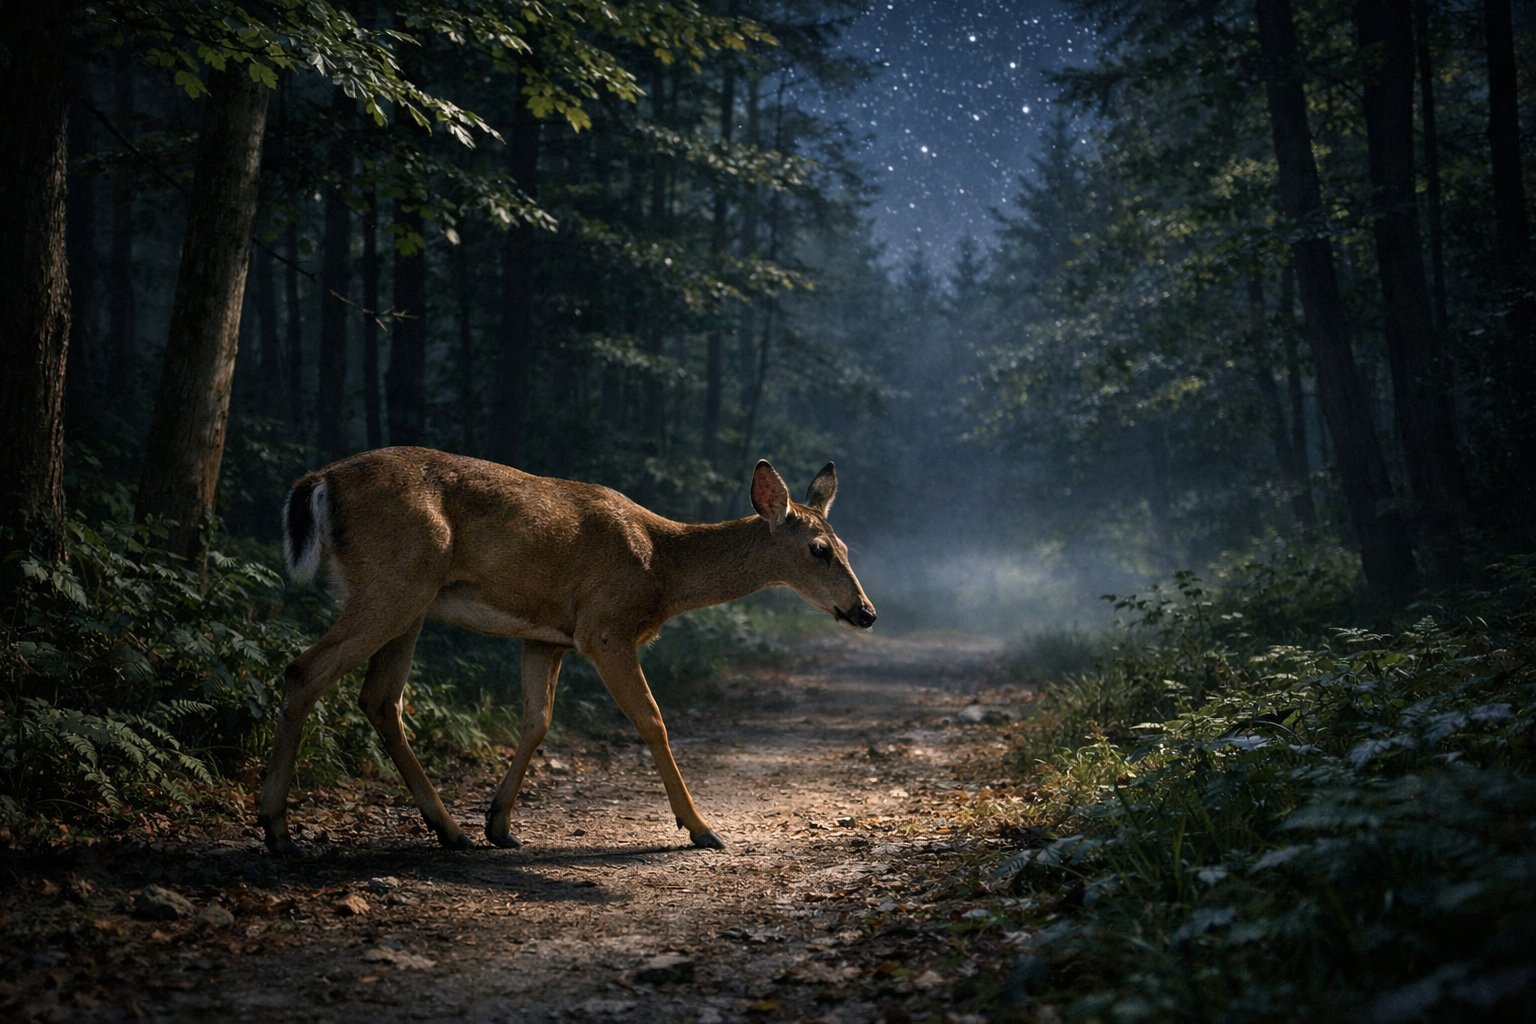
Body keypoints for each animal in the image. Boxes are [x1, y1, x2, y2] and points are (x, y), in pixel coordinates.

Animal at [258, 446, 876, 857]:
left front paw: (499, 823)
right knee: (304, 669)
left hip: (411, 599)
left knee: (381, 699)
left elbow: (538, 719)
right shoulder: (604, 628)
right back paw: (278, 830)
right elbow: (653, 720)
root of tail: (321, 480)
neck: (662, 567)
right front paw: (700, 827)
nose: (866, 611)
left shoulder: (546, 636)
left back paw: (450, 830)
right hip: (394, 581)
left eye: (847, 546)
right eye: (819, 550)